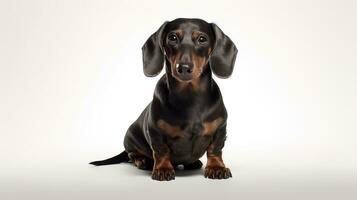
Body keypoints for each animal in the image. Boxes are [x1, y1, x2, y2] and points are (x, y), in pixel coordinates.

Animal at [90, 18, 238, 181]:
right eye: (172, 38)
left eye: (202, 39)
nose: (183, 67)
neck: (190, 96)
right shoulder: (155, 130)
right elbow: (161, 151)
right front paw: (163, 169)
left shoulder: (220, 128)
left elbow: (215, 149)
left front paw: (217, 167)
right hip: (131, 137)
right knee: (132, 154)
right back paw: (142, 161)